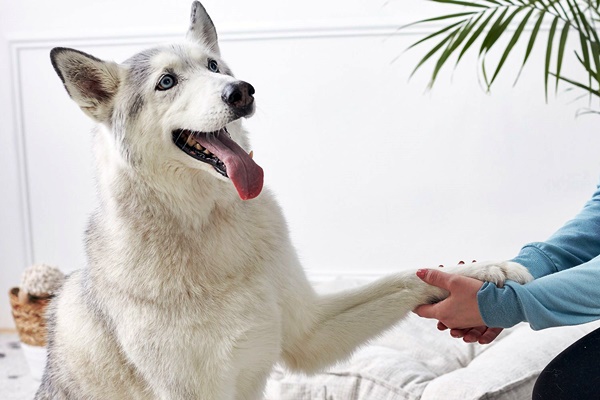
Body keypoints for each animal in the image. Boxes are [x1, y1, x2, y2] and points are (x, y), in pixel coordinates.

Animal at [36, 1, 536, 398]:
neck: (208, 222)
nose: (241, 90)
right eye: (166, 82)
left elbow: (409, 275)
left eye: (213, 66)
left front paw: (486, 270)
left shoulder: (310, 332)